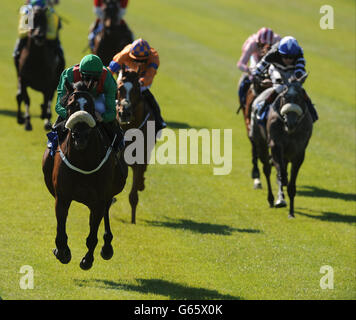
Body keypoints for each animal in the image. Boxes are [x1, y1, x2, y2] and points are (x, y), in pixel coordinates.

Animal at [42, 81, 128, 268]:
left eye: (90, 106)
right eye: (70, 106)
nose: (80, 136)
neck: (83, 161)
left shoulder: (99, 200)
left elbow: (92, 236)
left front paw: (87, 260)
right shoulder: (62, 197)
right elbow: (61, 233)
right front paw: (62, 252)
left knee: (105, 212)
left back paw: (107, 247)